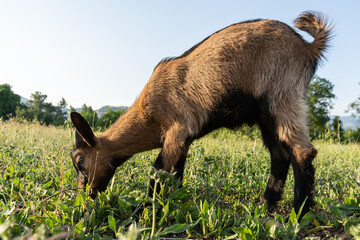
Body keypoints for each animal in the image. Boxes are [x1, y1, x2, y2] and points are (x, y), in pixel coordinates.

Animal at [71, 11, 334, 218]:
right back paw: (266, 204)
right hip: (266, 114)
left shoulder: (177, 127)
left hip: (282, 94)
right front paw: (174, 201)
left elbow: (158, 170)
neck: (148, 114)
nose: (86, 196)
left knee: (302, 150)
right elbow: (177, 172)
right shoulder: (184, 140)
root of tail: (308, 48)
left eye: (80, 163)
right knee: (279, 154)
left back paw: (298, 212)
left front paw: (145, 209)